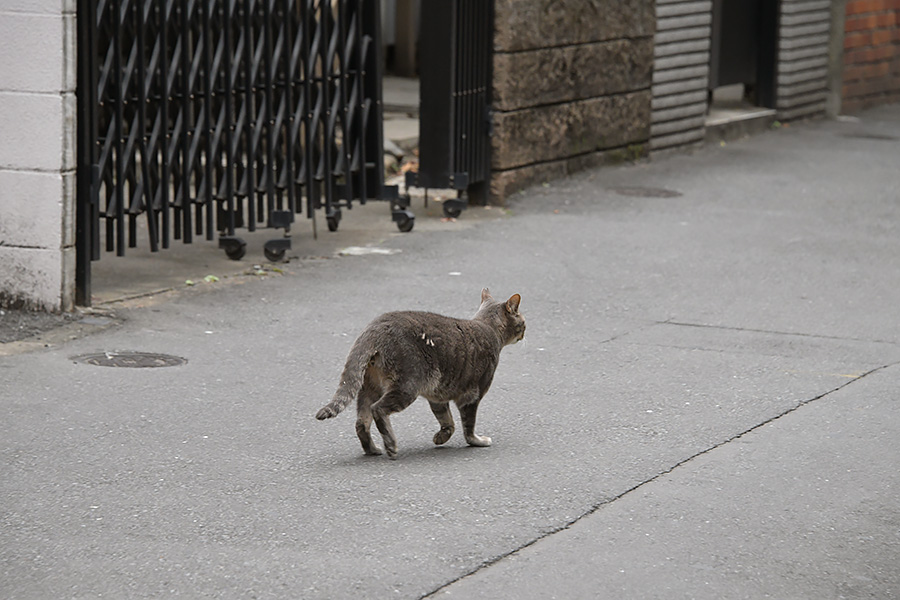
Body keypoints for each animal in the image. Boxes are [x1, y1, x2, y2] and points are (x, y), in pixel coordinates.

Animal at [318, 288, 524, 458]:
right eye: (523, 321)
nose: (524, 332)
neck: (488, 328)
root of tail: (374, 327)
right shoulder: (471, 396)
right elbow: (468, 426)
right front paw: (477, 441)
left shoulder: (438, 395)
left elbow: (447, 421)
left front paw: (441, 437)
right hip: (407, 386)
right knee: (378, 409)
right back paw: (390, 445)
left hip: (370, 387)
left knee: (362, 421)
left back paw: (373, 449)